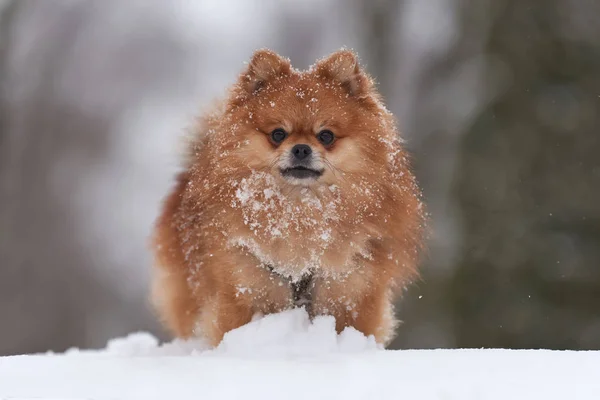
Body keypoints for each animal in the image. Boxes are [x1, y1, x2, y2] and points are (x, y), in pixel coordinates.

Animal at [152, 48, 424, 346]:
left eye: (326, 136)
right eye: (278, 134)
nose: (301, 149)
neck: (300, 209)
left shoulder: (352, 292)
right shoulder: (241, 287)